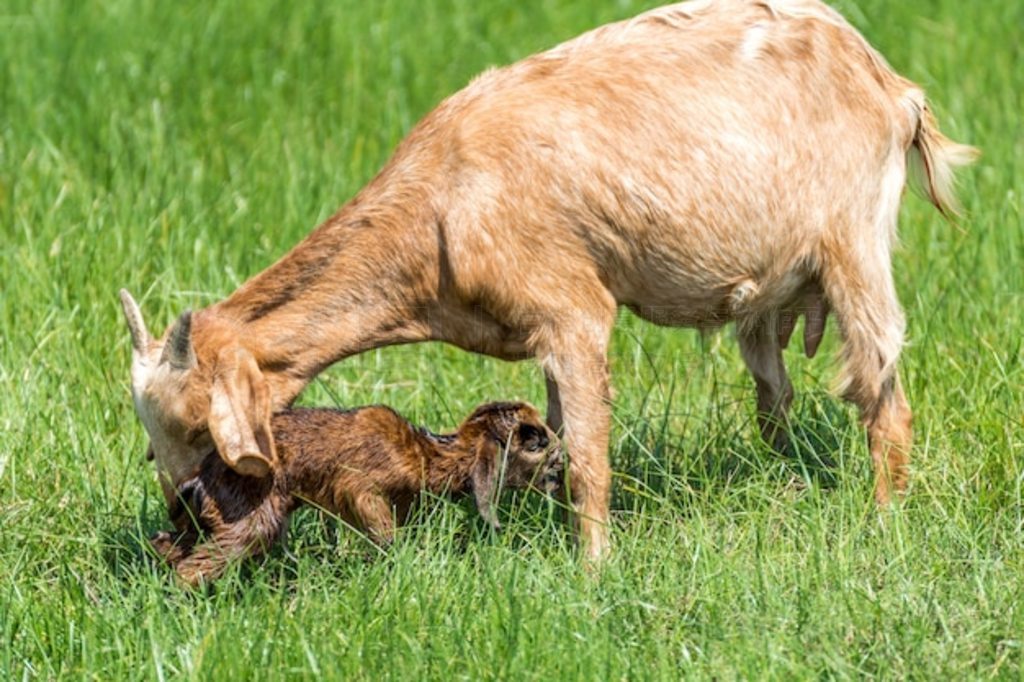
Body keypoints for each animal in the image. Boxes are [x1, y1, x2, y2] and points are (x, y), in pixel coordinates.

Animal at [119, 1, 974, 557]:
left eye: (195, 428)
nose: (185, 510)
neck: (440, 210)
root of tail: (891, 84)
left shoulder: (574, 312)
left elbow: (589, 460)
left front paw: (595, 575)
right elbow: (557, 450)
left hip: (854, 244)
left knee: (884, 397)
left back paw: (884, 526)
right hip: (777, 296)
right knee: (776, 399)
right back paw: (783, 477)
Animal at [149, 399, 561, 585]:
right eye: (535, 441)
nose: (561, 458)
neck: (423, 455)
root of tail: (201, 478)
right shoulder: (359, 487)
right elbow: (384, 535)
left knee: (168, 543)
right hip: (248, 514)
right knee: (196, 564)